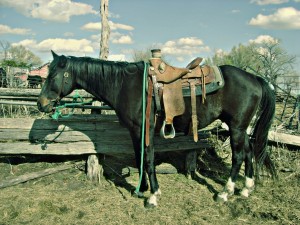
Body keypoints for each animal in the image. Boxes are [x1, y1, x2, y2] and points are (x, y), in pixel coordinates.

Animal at [36, 51, 276, 207]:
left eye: (53, 76)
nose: (41, 104)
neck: (124, 85)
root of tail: (255, 78)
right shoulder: (135, 131)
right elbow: (139, 156)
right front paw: (141, 189)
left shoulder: (145, 129)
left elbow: (149, 160)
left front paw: (152, 195)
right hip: (240, 128)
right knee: (249, 151)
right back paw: (246, 189)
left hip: (236, 127)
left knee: (238, 156)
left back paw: (225, 193)